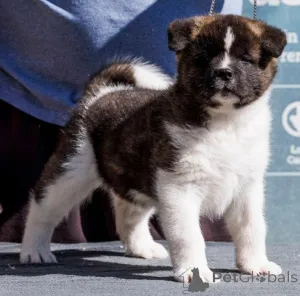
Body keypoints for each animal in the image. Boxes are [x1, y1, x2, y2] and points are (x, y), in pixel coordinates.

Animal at [19, 15, 288, 284]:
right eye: (203, 58)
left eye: (246, 59)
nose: (224, 72)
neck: (226, 121)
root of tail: (101, 94)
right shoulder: (179, 188)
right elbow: (189, 235)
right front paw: (194, 271)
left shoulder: (247, 188)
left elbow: (251, 228)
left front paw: (255, 265)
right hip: (72, 169)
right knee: (43, 207)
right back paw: (34, 251)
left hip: (133, 178)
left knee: (128, 213)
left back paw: (142, 248)